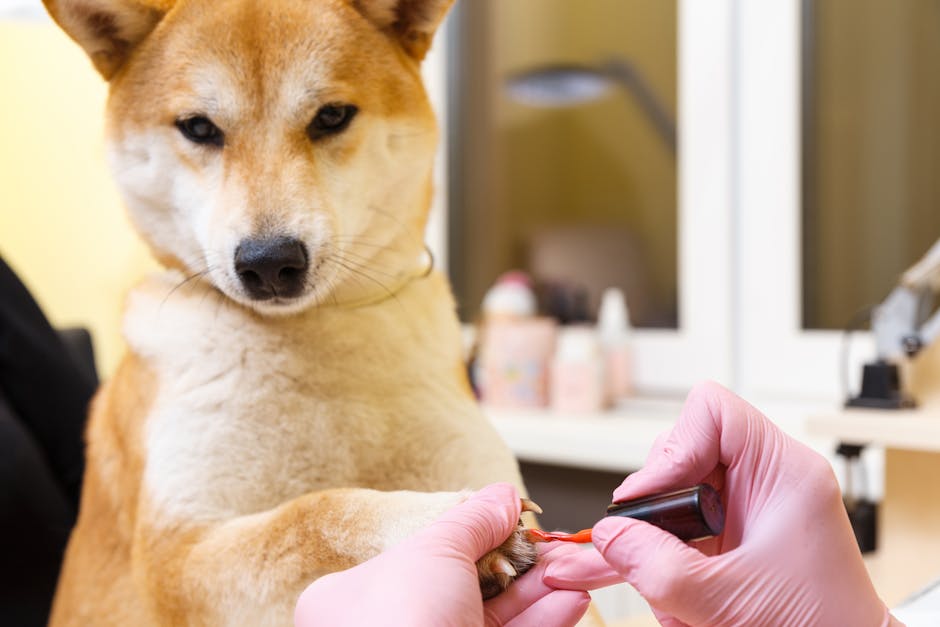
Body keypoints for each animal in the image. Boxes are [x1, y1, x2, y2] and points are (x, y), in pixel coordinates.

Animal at [42, 1, 544, 624]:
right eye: (199, 128)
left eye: (331, 116)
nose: (269, 262)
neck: (316, 338)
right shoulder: (175, 556)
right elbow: (313, 514)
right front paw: (441, 522)